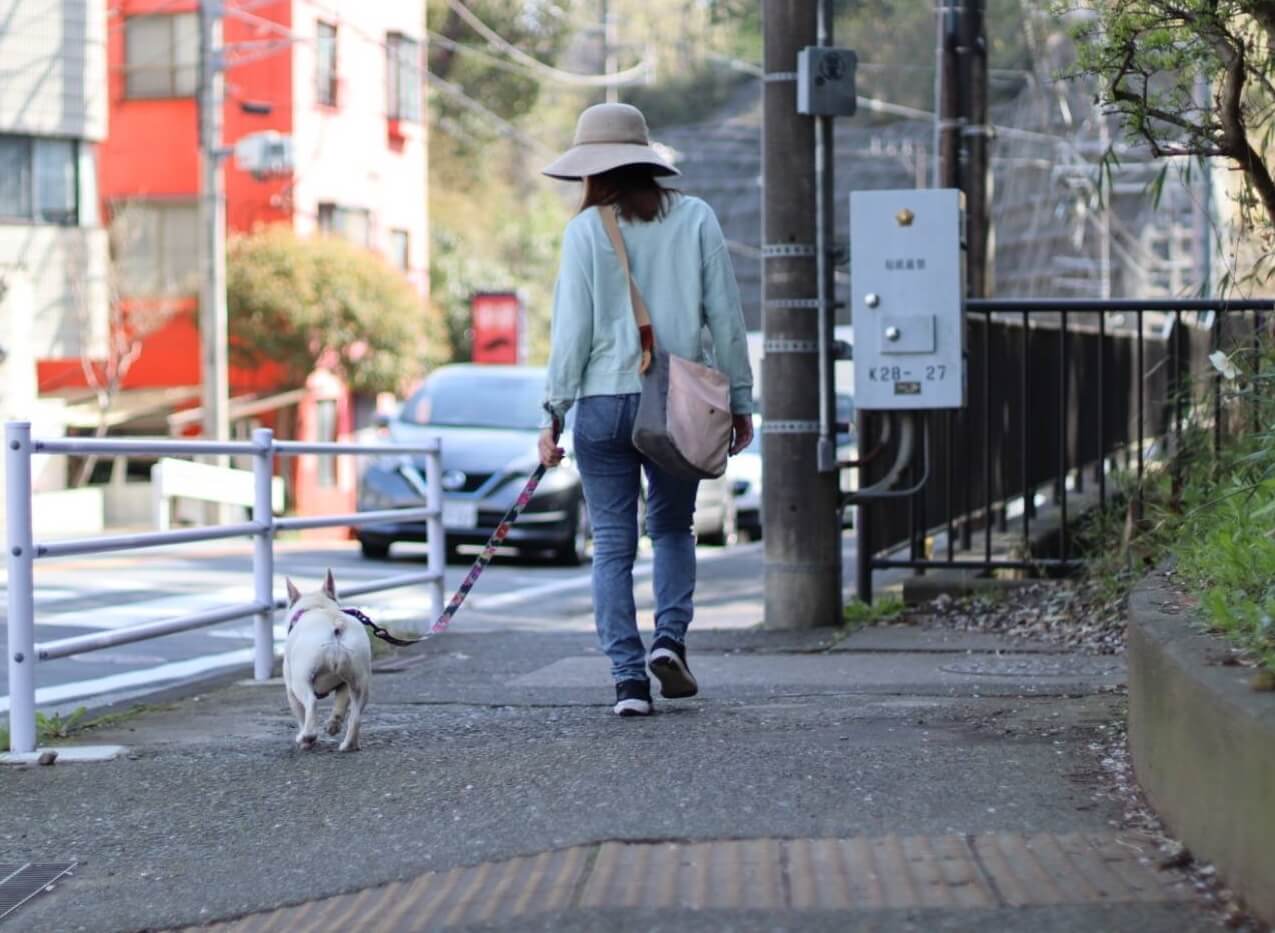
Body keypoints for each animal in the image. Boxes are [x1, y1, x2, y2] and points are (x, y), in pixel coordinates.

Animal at [281, 568, 372, 749]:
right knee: (356, 715)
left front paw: (306, 738)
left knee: (311, 703)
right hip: (359, 680)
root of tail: (337, 623)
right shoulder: (344, 684)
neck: (317, 607)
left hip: (300, 680)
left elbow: (300, 713)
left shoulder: (290, 691)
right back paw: (349, 745)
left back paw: (307, 737)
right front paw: (333, 725)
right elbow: (340, 703)